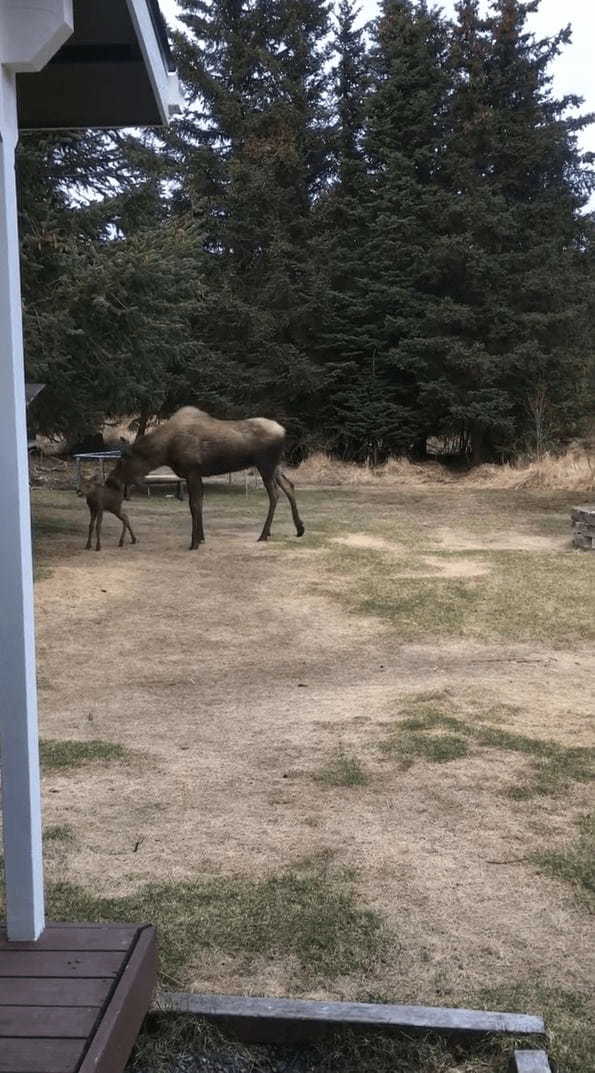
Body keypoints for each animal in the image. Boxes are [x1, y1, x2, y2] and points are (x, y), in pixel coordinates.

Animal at [107, 405, 304, 549]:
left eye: (122, 460)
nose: (110, 480)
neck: (164, 452)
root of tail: (283, 431)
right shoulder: (196, 474)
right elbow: (198, 504)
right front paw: (201, 537)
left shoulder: (192, 472)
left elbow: (194, 506)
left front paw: (194, 542)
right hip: (275, 466)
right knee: (289, 486)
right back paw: (299, 528)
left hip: (266, 465)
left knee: (275, 495)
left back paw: (264, 534)